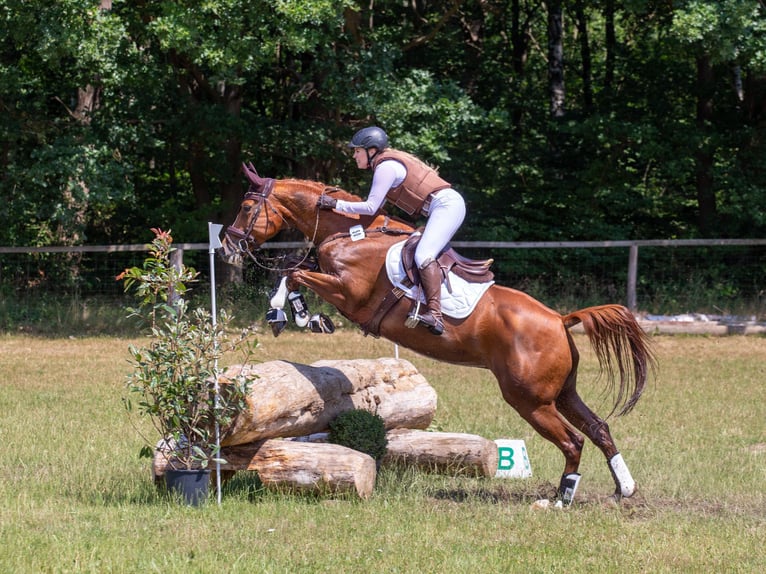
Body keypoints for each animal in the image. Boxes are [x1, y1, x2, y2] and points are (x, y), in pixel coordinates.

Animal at [220, 164, 657, 506]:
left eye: (246, 207)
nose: (227, 246)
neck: (351, 232)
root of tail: (561, 320)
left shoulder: (349, 293)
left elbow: (293, 273)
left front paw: (292, 314)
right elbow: (293, 270)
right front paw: (294, 314)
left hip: (530, 400)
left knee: (573, 441)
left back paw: (560, 499)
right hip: (561, 392)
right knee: (599, 428)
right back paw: (624, 489)